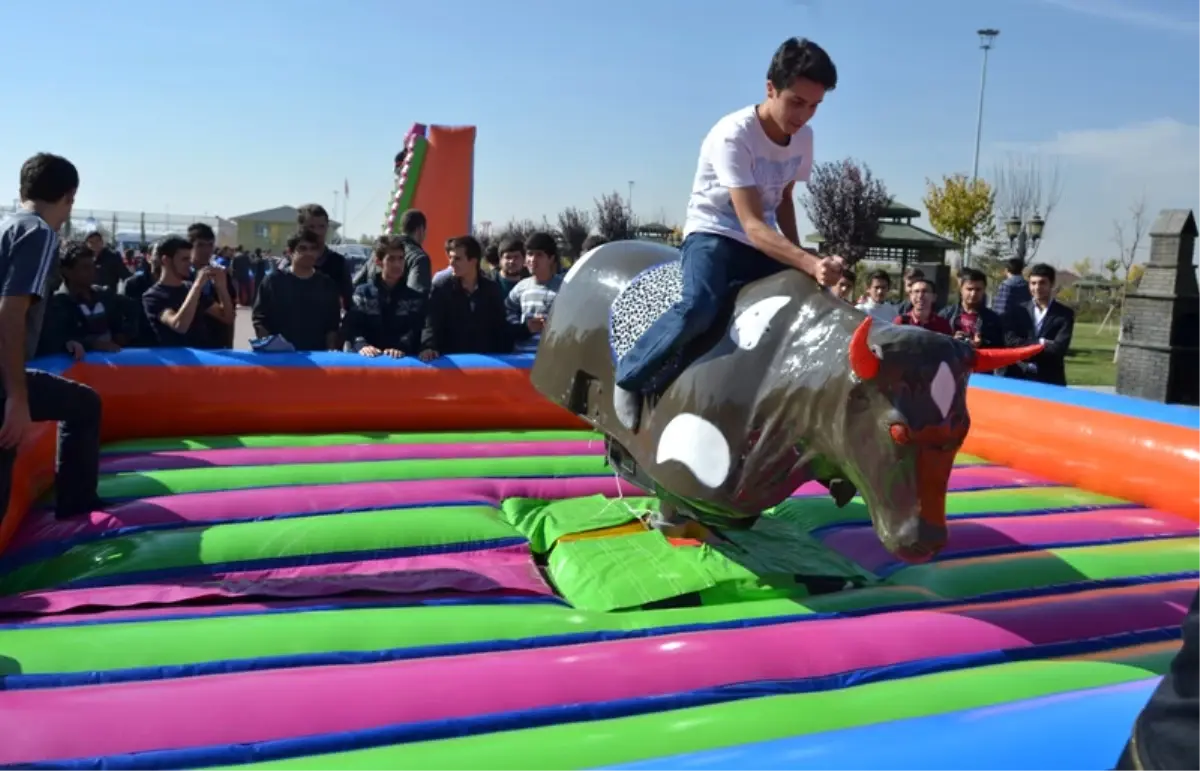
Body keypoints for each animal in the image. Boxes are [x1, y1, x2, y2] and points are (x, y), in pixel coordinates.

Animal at [530, 242, 1046, 562]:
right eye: (896, 429)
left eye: (962, 430)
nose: (927, 541)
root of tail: (594, 253)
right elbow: (669, 496)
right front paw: (674, 527)